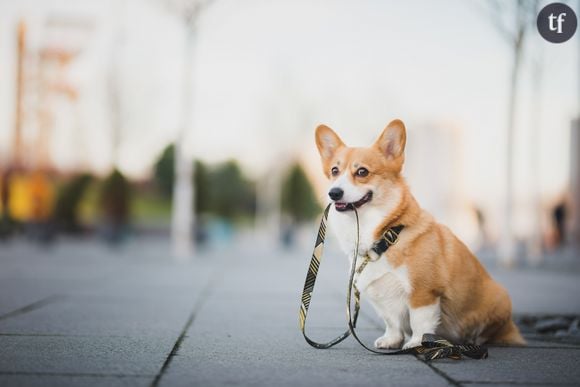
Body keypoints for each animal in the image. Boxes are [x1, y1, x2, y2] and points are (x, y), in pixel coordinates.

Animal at [318, 119, 524, 350]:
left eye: (362, 172)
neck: (385, 237)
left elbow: (420, 321)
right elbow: (392, 321)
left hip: (499, 298)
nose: (334, 193)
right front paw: (391, 341)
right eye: (335, 171)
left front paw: (417, 343)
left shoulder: (423, 292)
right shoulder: (382, 298)